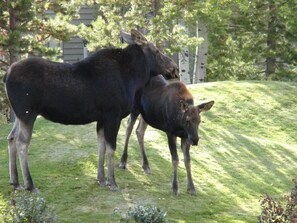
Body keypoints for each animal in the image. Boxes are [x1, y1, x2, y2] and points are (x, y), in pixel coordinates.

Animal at [3, 29, 177, 193]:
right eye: (156, 50)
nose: (174, 67)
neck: (133, 78)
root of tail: (6, 76)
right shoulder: (112, 115)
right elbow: (111, 148)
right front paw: (113, 182)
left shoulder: (101, 118)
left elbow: (101, 145)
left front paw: (101, 179)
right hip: (28, 113)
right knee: (21, 142)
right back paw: (30, 185)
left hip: (20, 115)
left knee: (11, 138)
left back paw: (15, 182)